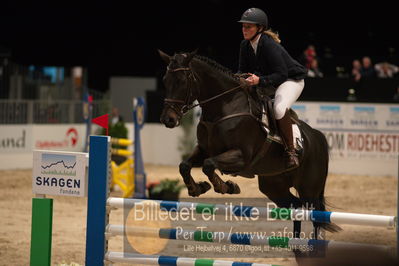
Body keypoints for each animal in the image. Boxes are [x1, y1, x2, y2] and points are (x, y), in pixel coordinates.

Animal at [158, 48, 340, 237]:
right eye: (164, 80)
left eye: (182, 81)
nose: (167, 119)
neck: (225, 106)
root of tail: (318, 136)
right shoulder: (204, 150)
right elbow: (185, 166)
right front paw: (198, 188)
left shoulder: (241, 156)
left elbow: (208, 165)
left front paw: (226, 187)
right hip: (274, 186)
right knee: (297, 208)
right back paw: (297, 242)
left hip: (309, 188)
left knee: (315, 216)